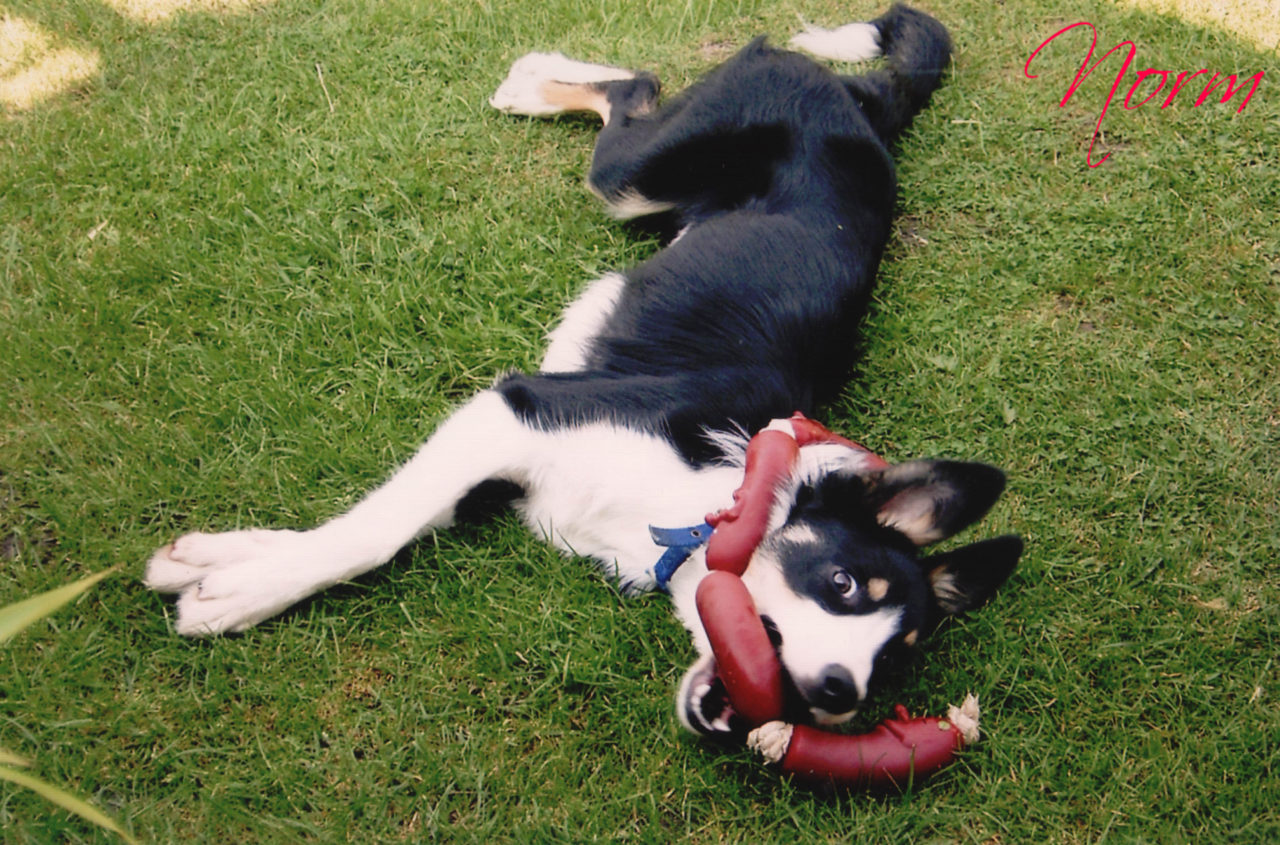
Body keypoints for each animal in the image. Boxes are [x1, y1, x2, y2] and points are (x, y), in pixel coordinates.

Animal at [142, 3, 1018, 737]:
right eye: (843, 584)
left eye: (896, 656)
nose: (840, 693)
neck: (699, 509)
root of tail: (864, 105)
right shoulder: (518, 409)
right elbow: (374, 533)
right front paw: (240, 593)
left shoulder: (506, 452)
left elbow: (381, 519)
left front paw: (217, 562)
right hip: (636, 175)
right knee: (634, 88)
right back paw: (532, 79)